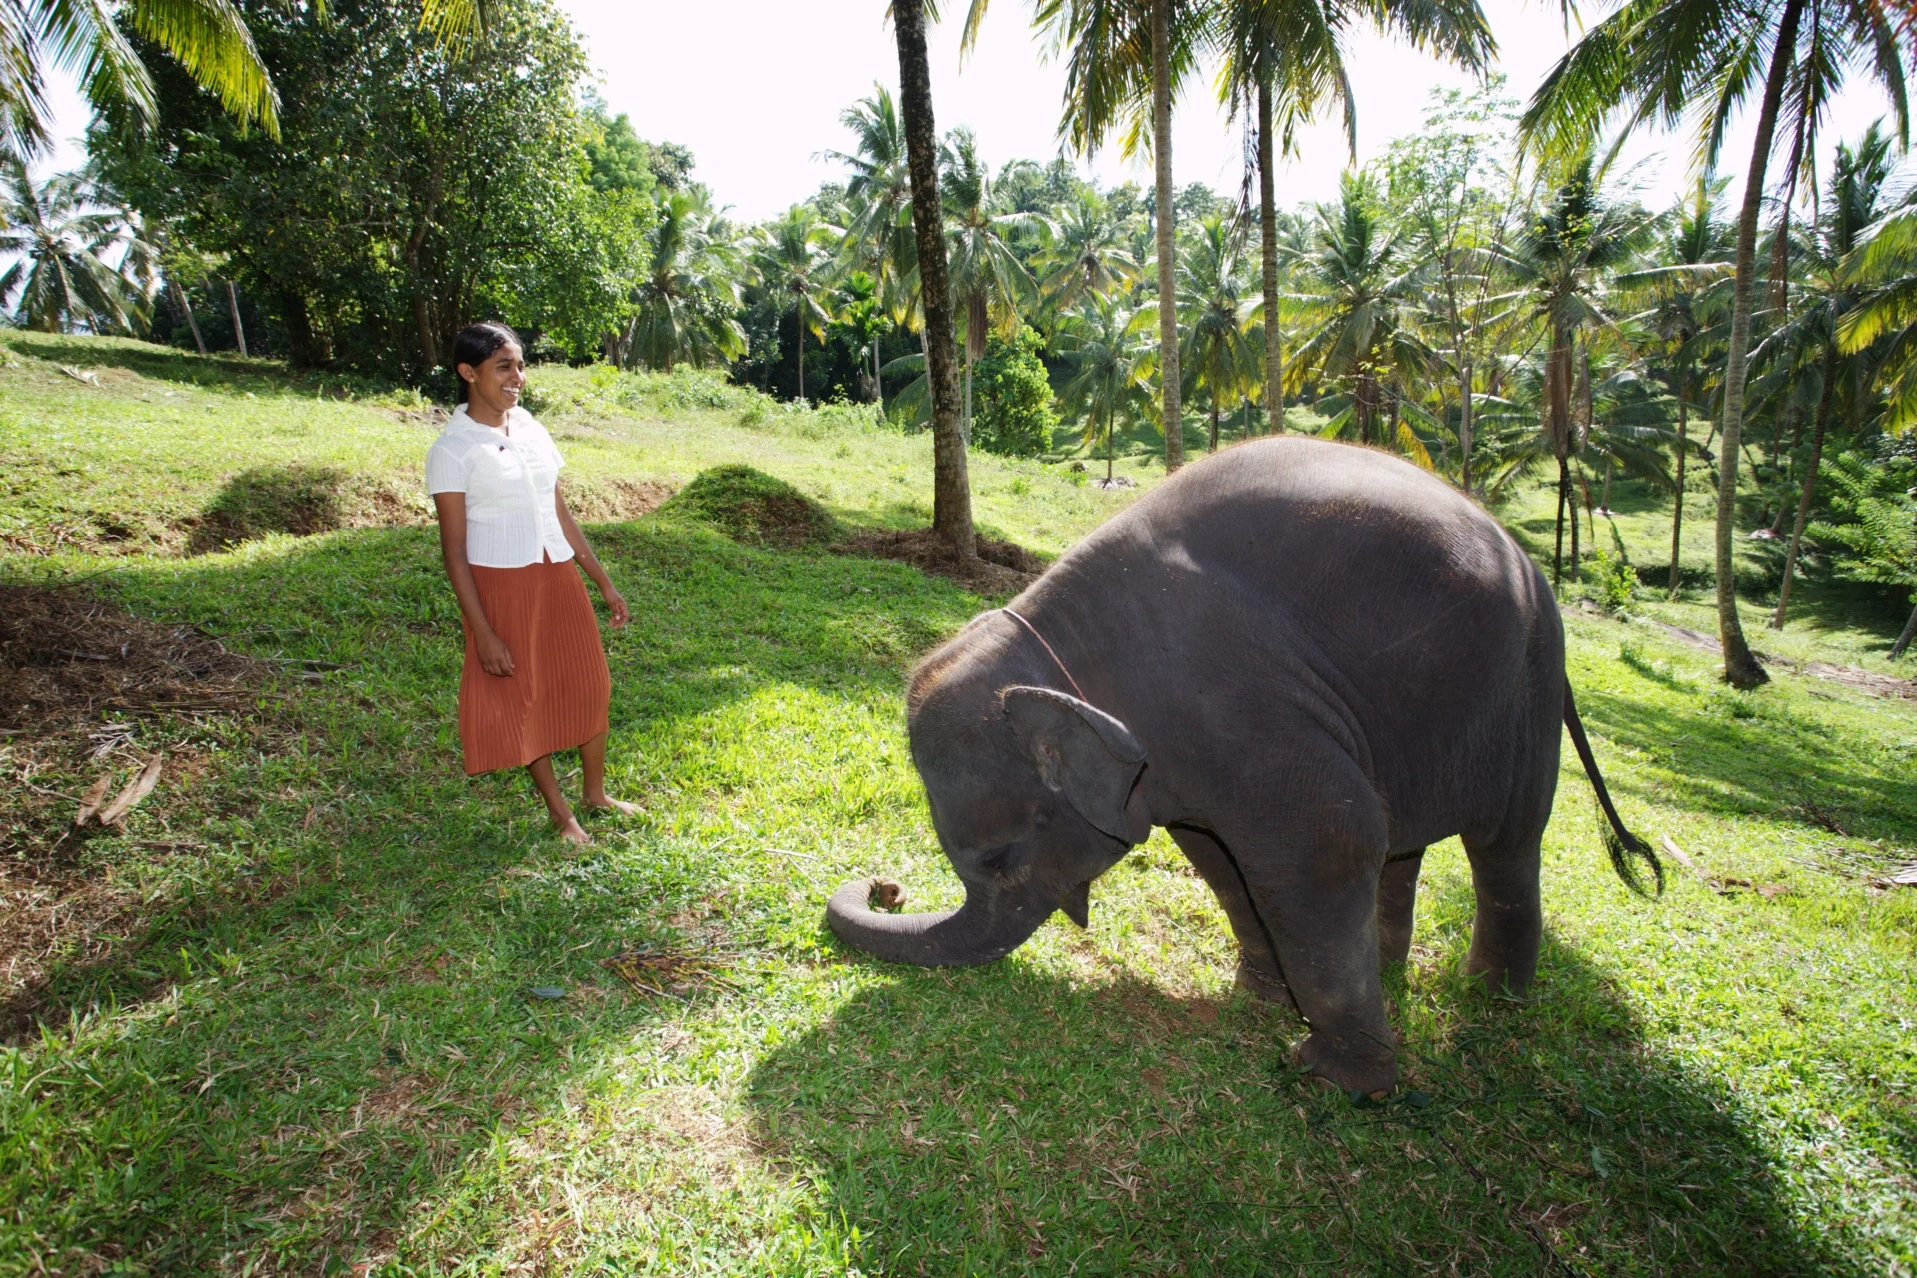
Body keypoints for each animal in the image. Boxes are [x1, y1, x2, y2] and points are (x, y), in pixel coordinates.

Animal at [826, 436, 1660, 1097]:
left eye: (998, 858)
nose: (887, 887)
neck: (1064, 650)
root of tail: (1525, 558)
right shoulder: (1188, 759)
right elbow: (1220, 859)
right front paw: (1255, 1003)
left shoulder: (1239, 710)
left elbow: (1326, 843)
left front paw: (1326, 1076)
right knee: (1402, 843)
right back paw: (1394, 971)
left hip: (1523, 695)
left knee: (1504, 847)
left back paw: (1492, 1002)